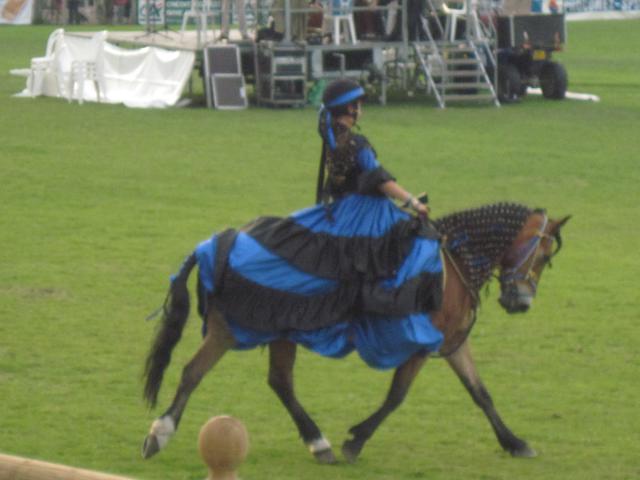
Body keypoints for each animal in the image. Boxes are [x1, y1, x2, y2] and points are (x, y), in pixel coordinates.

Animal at [140, 203, 568, 464]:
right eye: (544, 256)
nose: (521, 302)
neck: (451, 264)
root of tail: (218, 241)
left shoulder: (450, 343)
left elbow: (480, 393)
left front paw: (514, 442)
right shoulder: (420, 347)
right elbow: (396, 396)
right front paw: (356, 439)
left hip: (277, 332)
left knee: (278, 381)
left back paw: (316, 442)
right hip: (230, 330)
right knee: (194, 373)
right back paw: (160, 433)